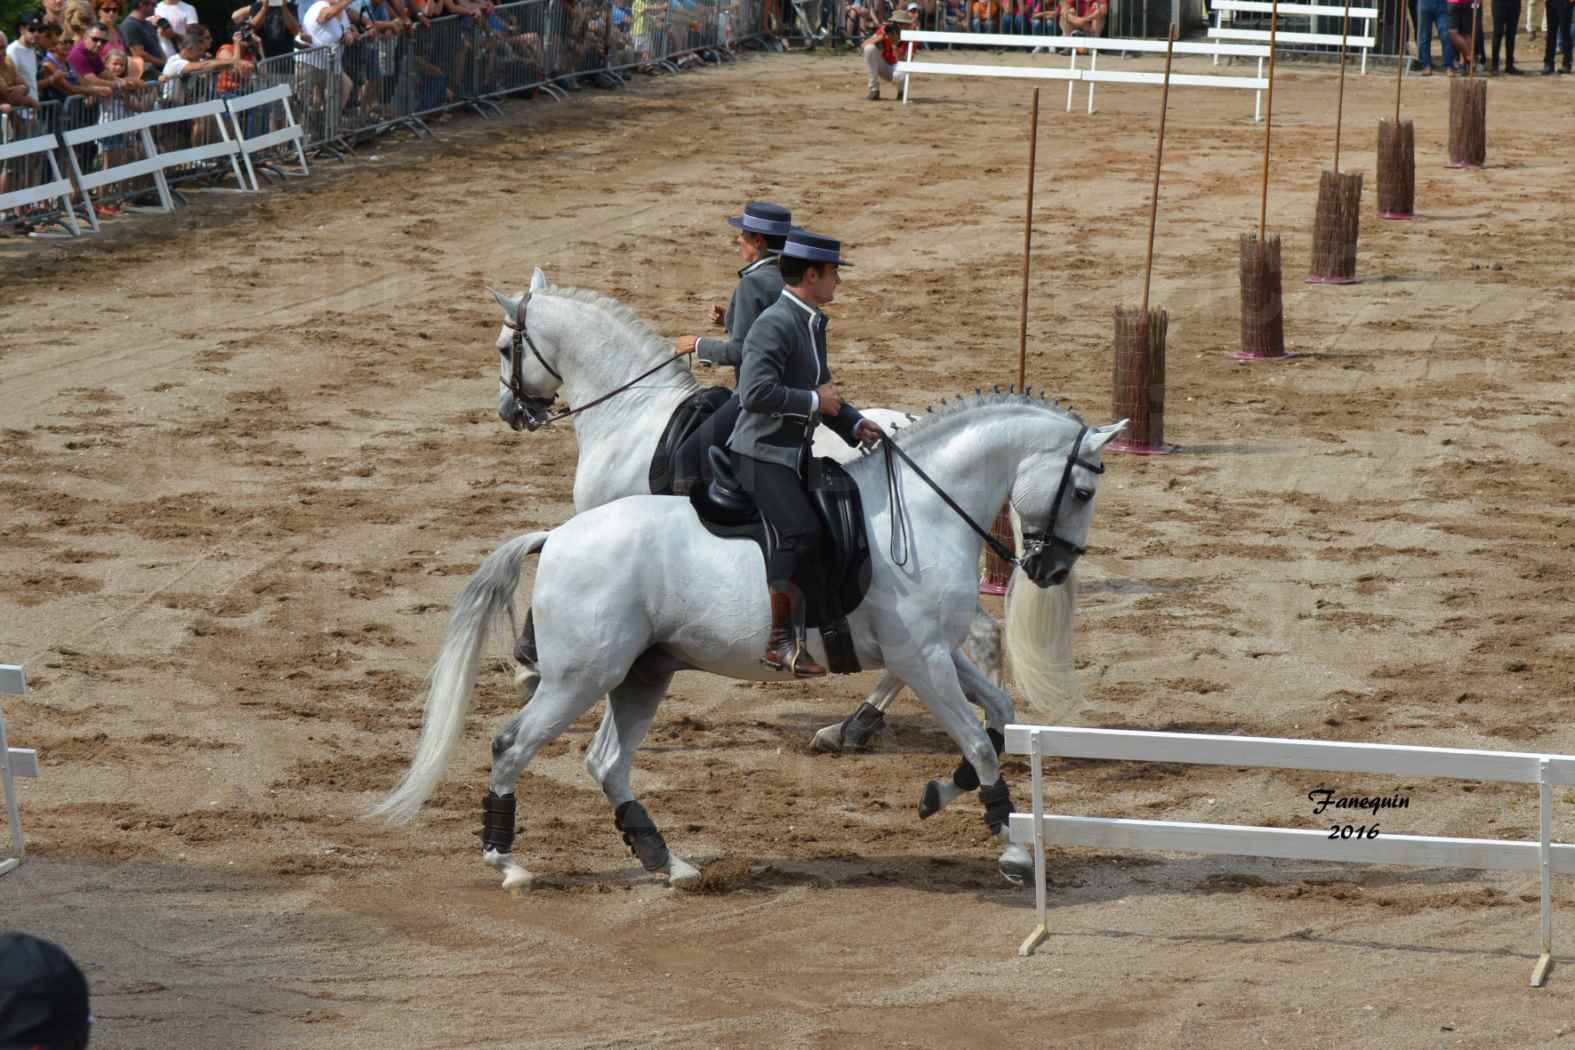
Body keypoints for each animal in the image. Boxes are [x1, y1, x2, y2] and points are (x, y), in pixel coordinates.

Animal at [374, 398, 1127, 894]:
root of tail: (556, 537)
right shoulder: (921, 657)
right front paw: (1012, 849)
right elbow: (977, 738)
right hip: (580, 678)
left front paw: (940, 793)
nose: (1051, 570)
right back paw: (507, 863)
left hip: (641, 674)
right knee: (513, 745)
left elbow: (998, 715)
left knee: (605, 761)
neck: (921, 510)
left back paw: (669, 863)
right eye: (1082, 489)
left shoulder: (935, 651)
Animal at [478, 273, 1071, 755]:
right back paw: (865, 726)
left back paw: (860, 725)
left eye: (506, 347)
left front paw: (527, 664)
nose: (511, 413)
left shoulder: (603, 523)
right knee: (963, 639)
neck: (630, 412)